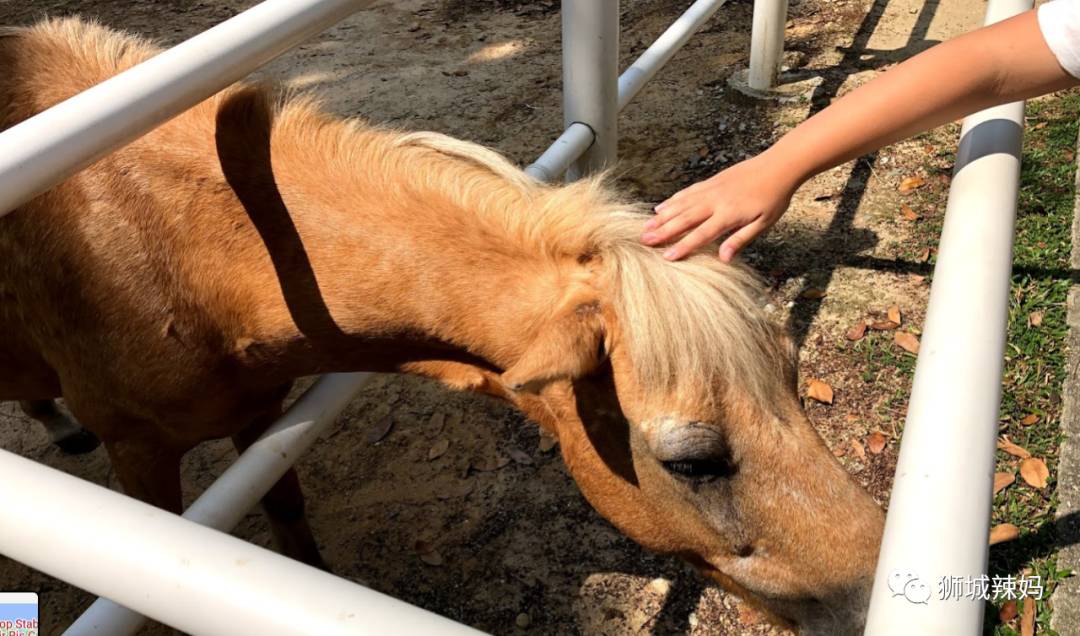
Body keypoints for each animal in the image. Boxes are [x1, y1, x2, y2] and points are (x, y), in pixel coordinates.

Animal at [0, 18, 883, 634]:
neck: (183, 249)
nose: (879, 589)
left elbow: (288, 514)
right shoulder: (140, 455)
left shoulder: (260, 416)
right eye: (693, 462)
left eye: (796, 377)